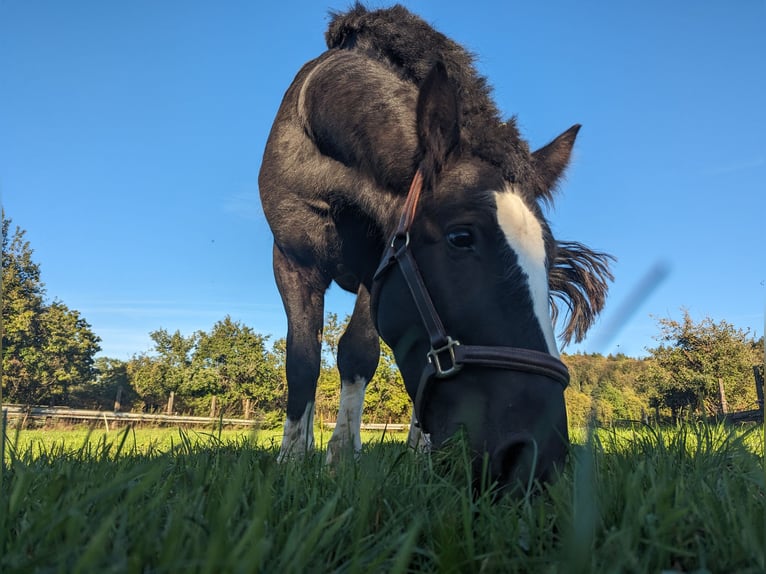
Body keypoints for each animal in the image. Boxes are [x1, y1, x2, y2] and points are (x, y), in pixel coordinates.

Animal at [258, 3, 612, 490]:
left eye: (550, 256)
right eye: (461, 237)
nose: (536, 455)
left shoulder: (375, 269)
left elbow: (357, 352)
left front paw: (343, 457)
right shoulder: (292, 261)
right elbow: (302, 358)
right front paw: (293, 459)